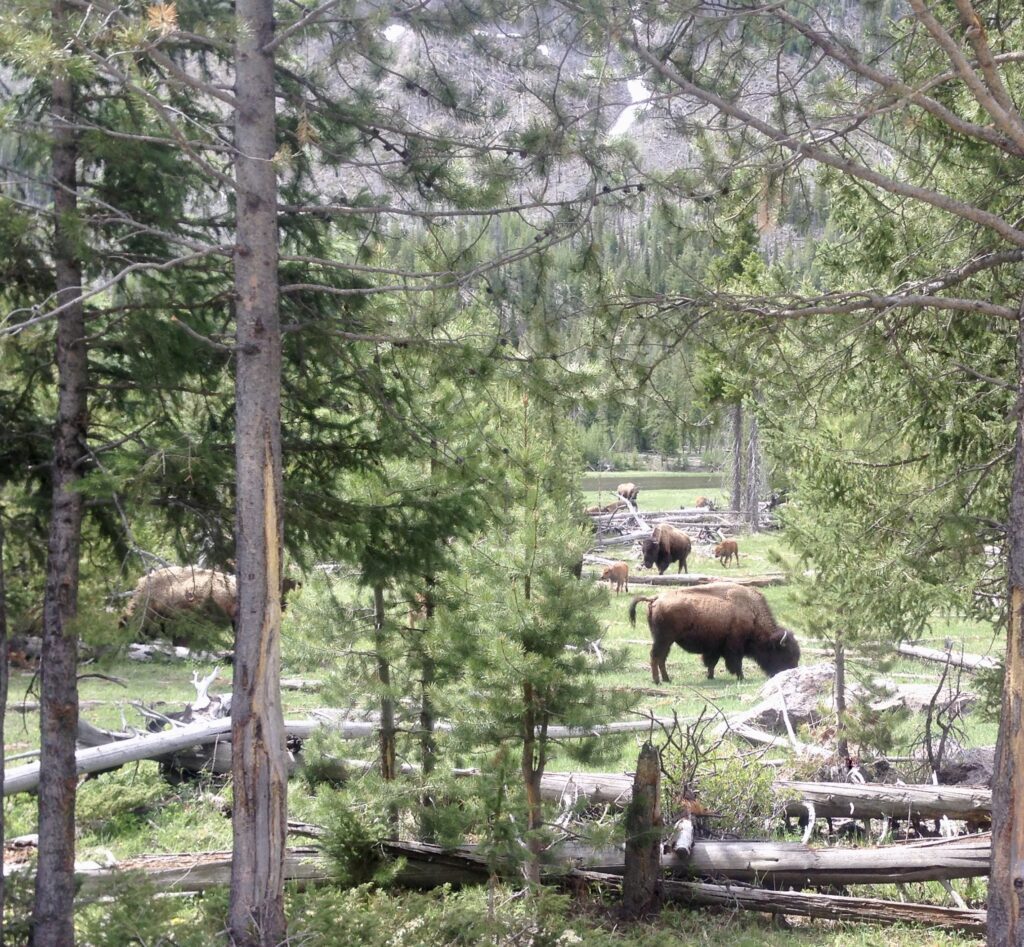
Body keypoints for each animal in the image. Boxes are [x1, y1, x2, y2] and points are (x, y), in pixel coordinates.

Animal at [626, 581, 802, 683]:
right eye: (785, 654)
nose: (791, 671)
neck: (753, 614)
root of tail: (655, 598)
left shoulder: (715, 647)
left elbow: (712, 662)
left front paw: (710, 676)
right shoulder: (734, 647)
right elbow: (735, 663)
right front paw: (741, 677)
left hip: (666, 641)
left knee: (661, 658)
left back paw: (666, 679)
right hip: (664, 639)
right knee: (656, 656)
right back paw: (658, 680)